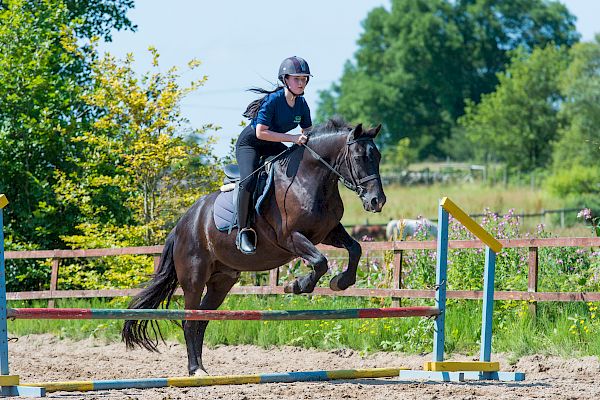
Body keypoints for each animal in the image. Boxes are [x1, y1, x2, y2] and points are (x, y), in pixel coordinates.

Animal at [122, 118, 386, 376]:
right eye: (359, 157)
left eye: (378, 156)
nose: (377, 201)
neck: (308, 179)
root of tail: (181, 225)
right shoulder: (290, 238)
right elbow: (320, 262)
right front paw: (296, 285)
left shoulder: (329, 232)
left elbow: (355, 249)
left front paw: (340, 282)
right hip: (194, 278)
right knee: (190, 320)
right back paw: (195, 369)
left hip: (222, 280)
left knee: (203, 320)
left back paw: (202, 368)